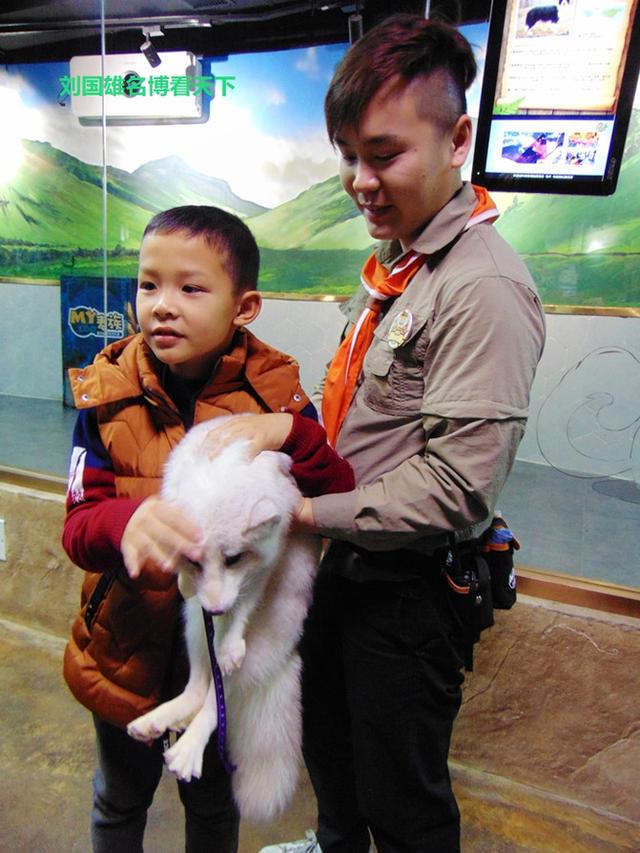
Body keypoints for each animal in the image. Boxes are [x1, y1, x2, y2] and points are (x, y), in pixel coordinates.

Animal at [127, 416, 320, 824]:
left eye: (233, 558)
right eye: (194, 561)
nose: (214, 611)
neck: (217, 476)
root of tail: (285, 657)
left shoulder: (267, 560)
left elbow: (246, 604)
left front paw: (231, 639)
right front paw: (184, 581)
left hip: (252, 657)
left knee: (215, 707)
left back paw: (186, 751)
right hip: (193, 631)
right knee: (197, 690)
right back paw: (158, 720)